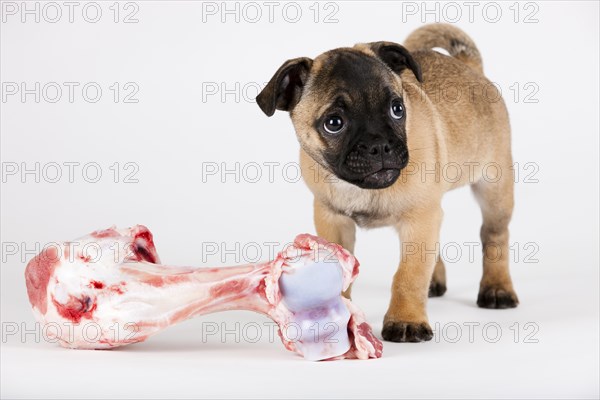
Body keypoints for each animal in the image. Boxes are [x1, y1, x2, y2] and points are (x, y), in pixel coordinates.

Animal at [255, 23, 516, 342]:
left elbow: (408, 275)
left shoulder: (419, 220)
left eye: (397, 109)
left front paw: (406, 321)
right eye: (334, 123)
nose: (379, 145)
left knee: (494, 235)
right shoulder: (333, 219)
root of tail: (468, 66)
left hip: (494, 188)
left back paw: (497, 289)